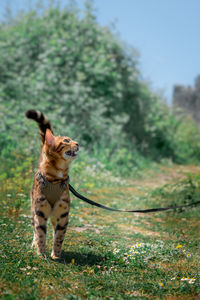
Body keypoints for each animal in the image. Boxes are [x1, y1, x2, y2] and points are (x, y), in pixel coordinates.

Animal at [26, 109, 79, 258]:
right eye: (67, 140)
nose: (78, 143)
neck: (56, 178)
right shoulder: (40, 212)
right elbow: (40, 234)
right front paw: (41, 254)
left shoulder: (63, 214)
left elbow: (59, 236)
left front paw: (55, 254)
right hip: (33, 209)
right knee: (34, 229)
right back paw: (33, 245)